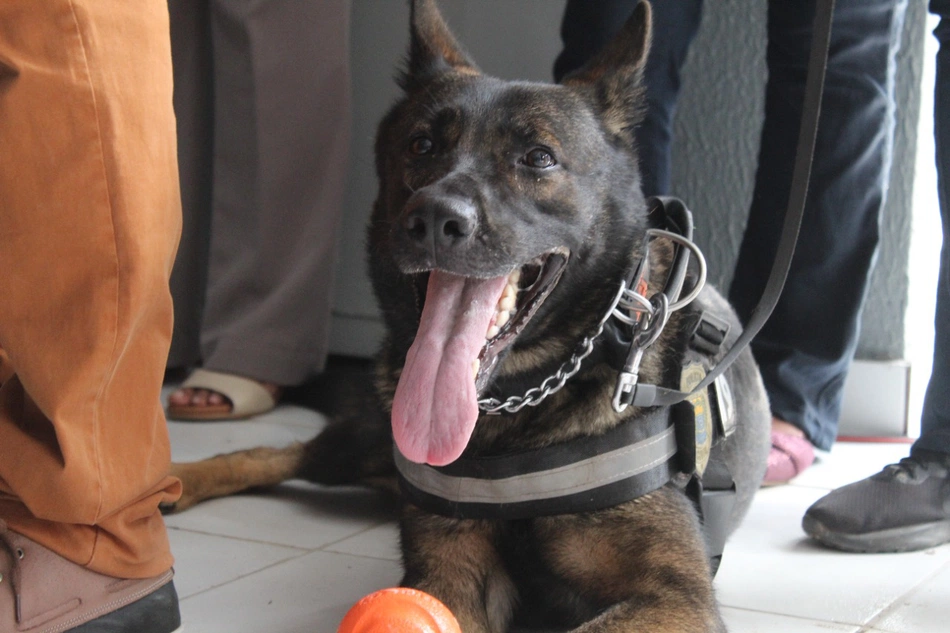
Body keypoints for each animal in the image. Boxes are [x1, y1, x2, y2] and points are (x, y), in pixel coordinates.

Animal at [165, 2, 772, 628]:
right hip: (372, 443)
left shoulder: (673, 596)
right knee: (277, 453)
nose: (434, 219)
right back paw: (177, 481)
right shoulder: (450, 574)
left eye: (539, 158)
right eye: (421, 145)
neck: (518, 407)